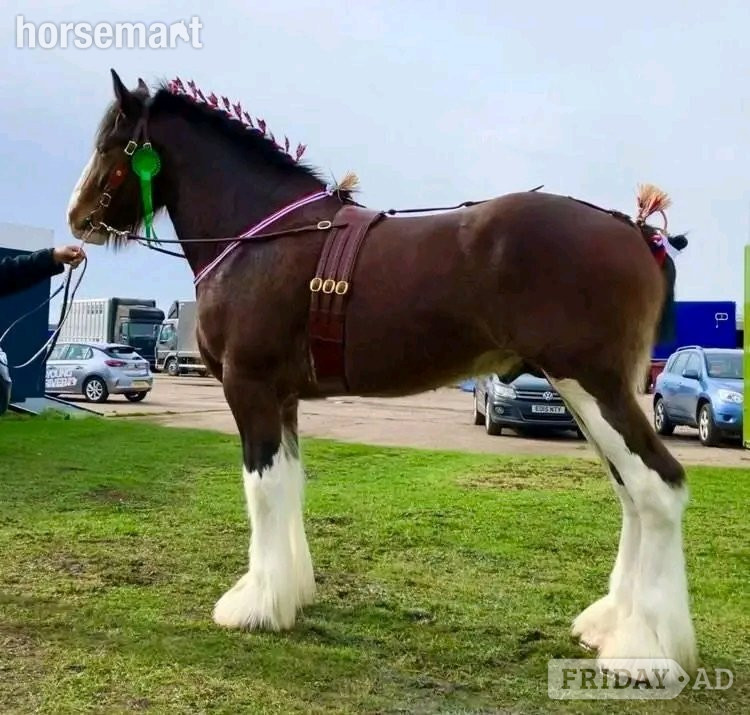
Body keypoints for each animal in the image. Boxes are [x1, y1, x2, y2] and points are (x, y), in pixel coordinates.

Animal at [66, 70, 698, 682]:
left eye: (112, 144)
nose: (77, 218)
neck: (261, 241)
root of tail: (634, 230)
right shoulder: (284, 397)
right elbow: (289, 484)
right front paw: (291, 593)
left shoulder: (250, 388)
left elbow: (263, 488)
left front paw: (256, 607)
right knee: (630, 493)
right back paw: (610, 625)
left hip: (592, 385)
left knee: (656, 487)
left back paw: (642, 652)